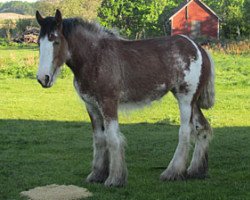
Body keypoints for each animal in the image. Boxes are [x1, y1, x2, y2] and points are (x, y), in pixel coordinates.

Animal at [35, 9, 215, 188]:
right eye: (38, 43)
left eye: (56, 41)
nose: (43, 78)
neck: (95, 57)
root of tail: (198, 49)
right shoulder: (91, 106)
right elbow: (99, 139)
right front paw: (97, 174)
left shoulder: (108, 104)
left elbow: (113, 138)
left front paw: (115, 178)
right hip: (192, 102)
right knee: (203, 128)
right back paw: (196, 170)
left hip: (185, 99)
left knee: (185, 131)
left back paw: (172, 172)